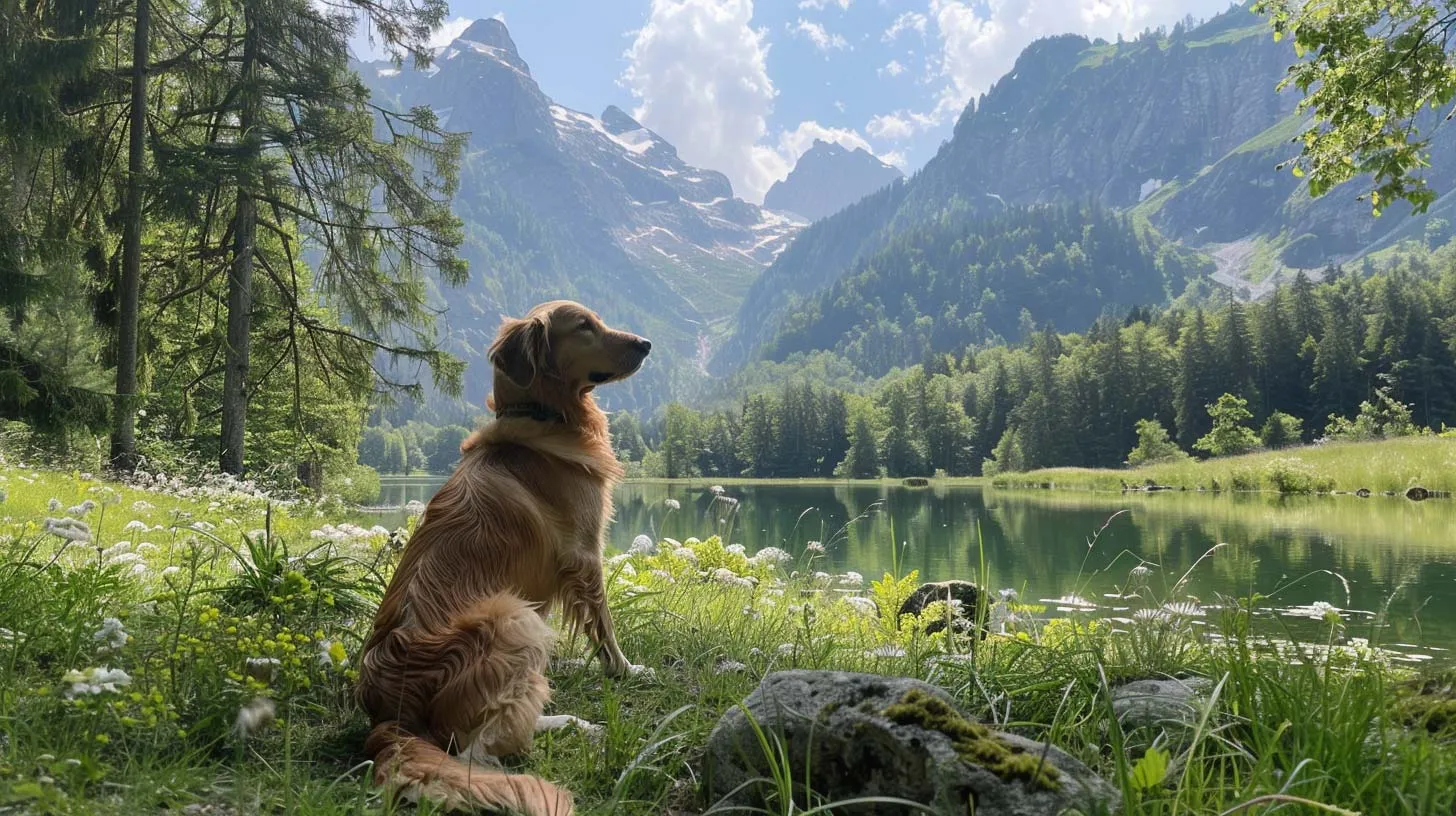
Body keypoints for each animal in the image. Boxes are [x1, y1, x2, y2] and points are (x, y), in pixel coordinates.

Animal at [355, 301, 652, 816]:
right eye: (585, 326)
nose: (646, 344)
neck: (544, 414)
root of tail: (391, 716)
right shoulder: (585, 552)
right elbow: (605, 628)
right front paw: (625, 670)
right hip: (512, 617)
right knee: (476, 751)